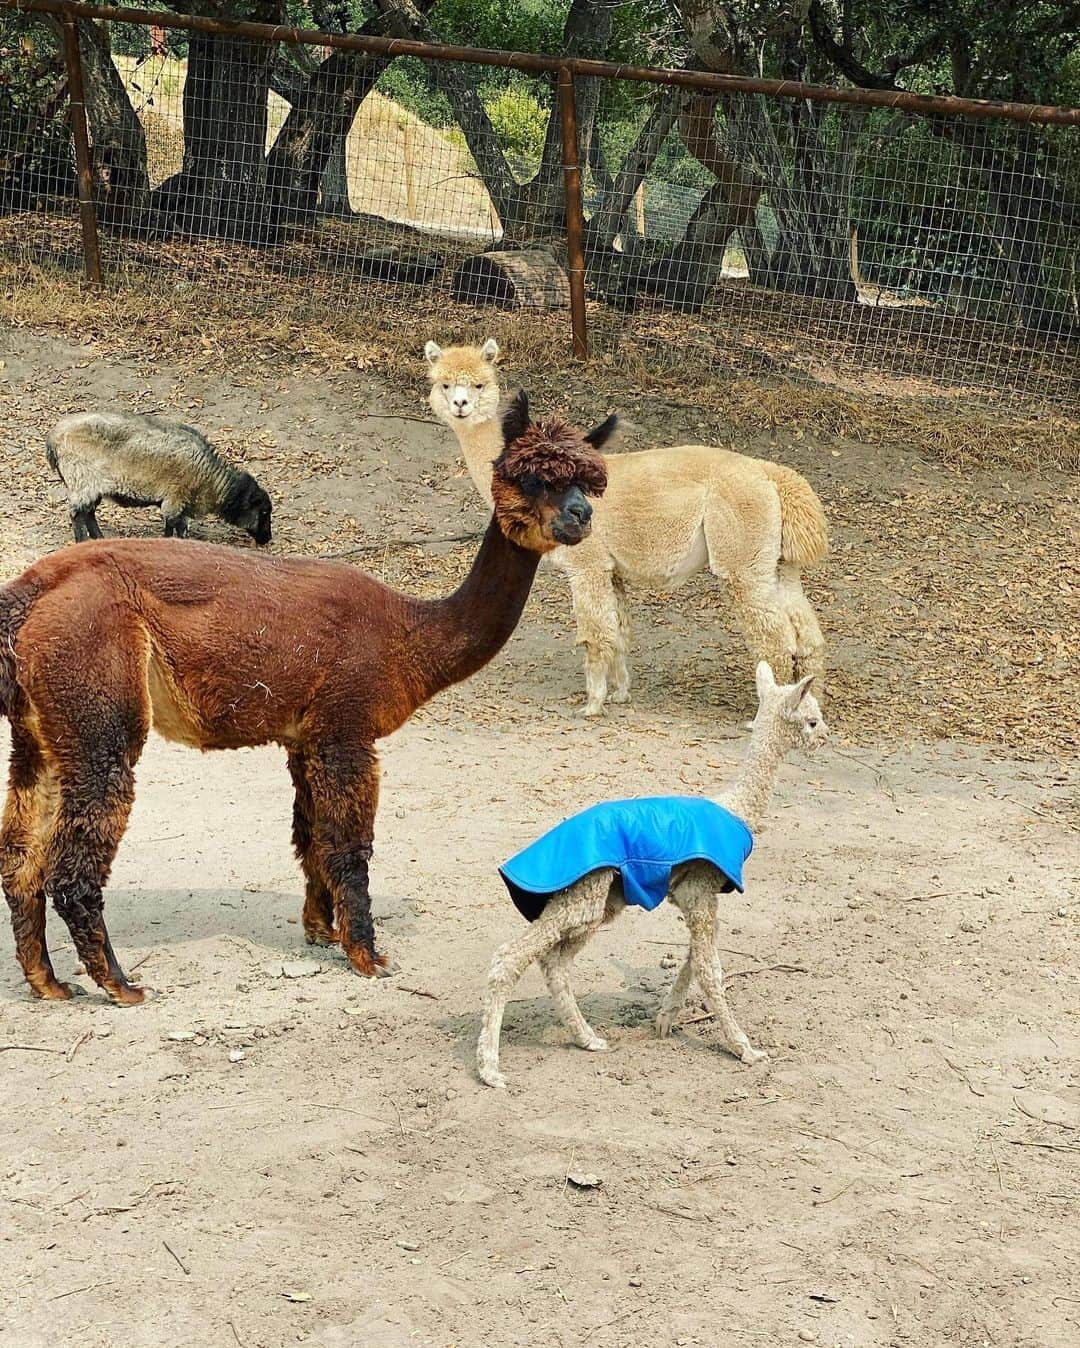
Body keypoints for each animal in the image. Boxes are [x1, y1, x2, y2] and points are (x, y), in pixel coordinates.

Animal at [46, 407, 272, 544]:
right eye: (263, 512)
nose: (268, 538)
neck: (209, 480)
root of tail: (53, 437)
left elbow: (175, 526)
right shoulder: (175, 498)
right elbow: (176, 525)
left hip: (93, 484)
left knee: (89, 512)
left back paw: (100, 538)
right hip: (81, 479)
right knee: (77, 513)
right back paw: (83, 541)